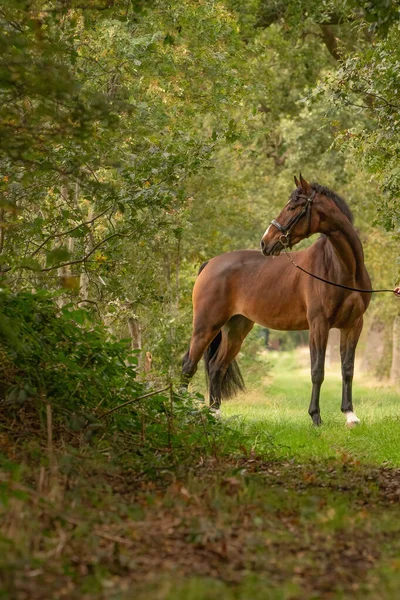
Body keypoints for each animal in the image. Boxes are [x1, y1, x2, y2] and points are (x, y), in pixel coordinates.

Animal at [182, 175, 372, 426]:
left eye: (292, 207)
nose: (265, 242)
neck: (342, 269)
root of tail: (210, 264)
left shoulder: (353, 325)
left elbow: (347, 369)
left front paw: (350, 415)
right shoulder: (319, 325)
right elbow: (317, 371)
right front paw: (315, 417)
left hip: (236, 329)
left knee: (216, 368)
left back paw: (215, 415)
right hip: (206, 326)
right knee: (188, 366)